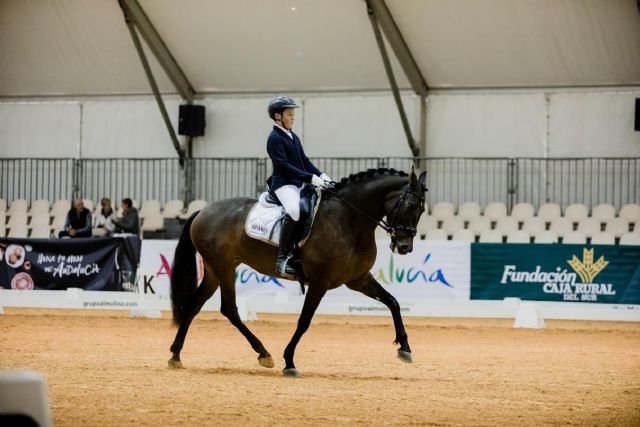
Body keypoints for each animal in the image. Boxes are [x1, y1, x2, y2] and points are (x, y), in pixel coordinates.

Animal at [169, 169, 424, 376]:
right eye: (411, 205)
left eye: (422, 210)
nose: (404, 247)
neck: (348, 220)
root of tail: (202, 210)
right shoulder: (320, 282)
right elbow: (304, 321)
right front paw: (289, 361)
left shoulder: (358, 279)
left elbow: (393, 302)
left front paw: (405, 348)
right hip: (223, 267)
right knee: (229, 309)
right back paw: (264, 354)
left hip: (215, 269)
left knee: (194, 306)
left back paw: (175, 355)